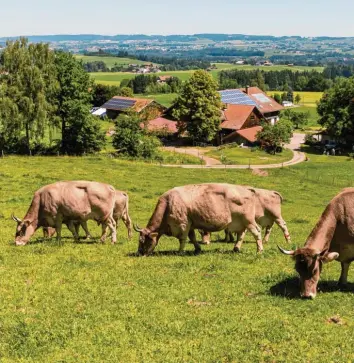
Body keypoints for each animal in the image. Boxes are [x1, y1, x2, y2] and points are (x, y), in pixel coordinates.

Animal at [133, 183, 262, 258]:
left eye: (143, 241)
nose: (139, 253)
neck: (168, 203)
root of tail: (248, 190)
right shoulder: (190, 225)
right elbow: (192, 238)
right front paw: (197, 249)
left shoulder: (182, 225)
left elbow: (182, 239)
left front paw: (180, 252)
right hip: (241, 223)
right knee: (241, 235)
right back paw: (236, 249)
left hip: (248, 220)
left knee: (256, 232)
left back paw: (259, 251)